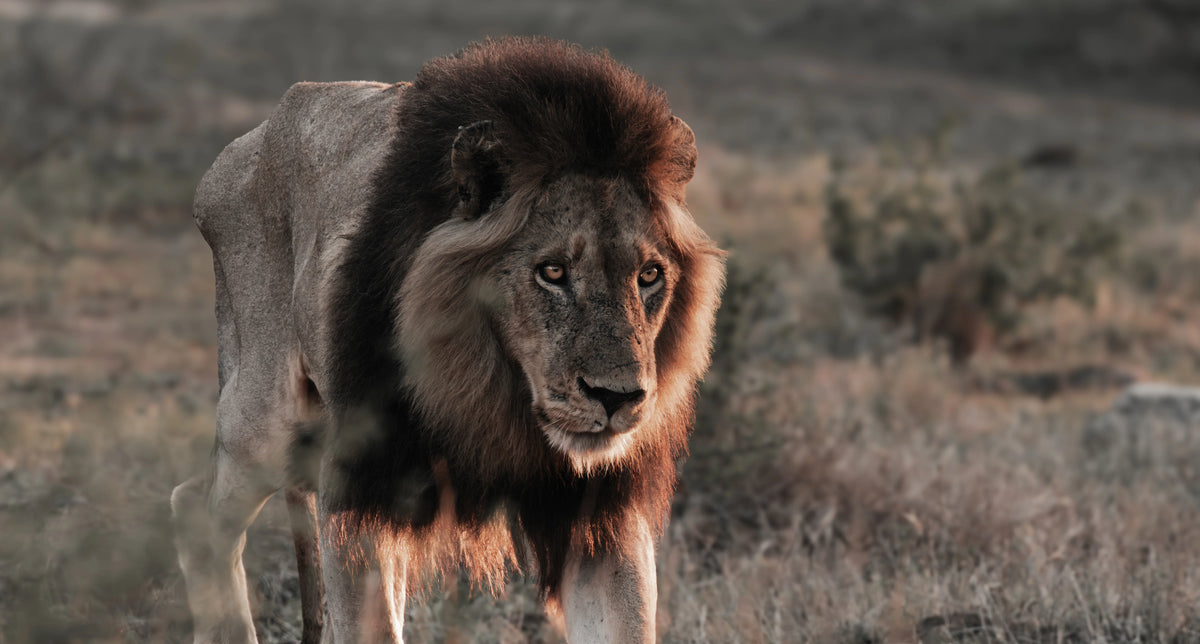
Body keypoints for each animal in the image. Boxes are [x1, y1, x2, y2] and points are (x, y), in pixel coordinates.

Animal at [170, 37, 724, 644]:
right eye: (552, 272)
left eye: (649, 276)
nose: (617, 397)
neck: (495, 393)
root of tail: (247, 141)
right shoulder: (363, 486)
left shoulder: (602, 513)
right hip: (265, 417)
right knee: (194, 507)